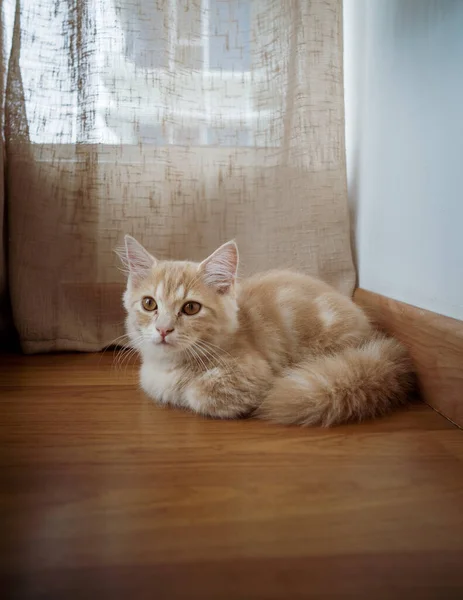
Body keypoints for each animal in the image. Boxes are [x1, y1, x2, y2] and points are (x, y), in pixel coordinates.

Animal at [118, 236, 414, 426]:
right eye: (149, 304)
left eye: (191, 308)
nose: (163, 329)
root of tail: (376, 343)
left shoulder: (252, 374)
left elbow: (198, 393)